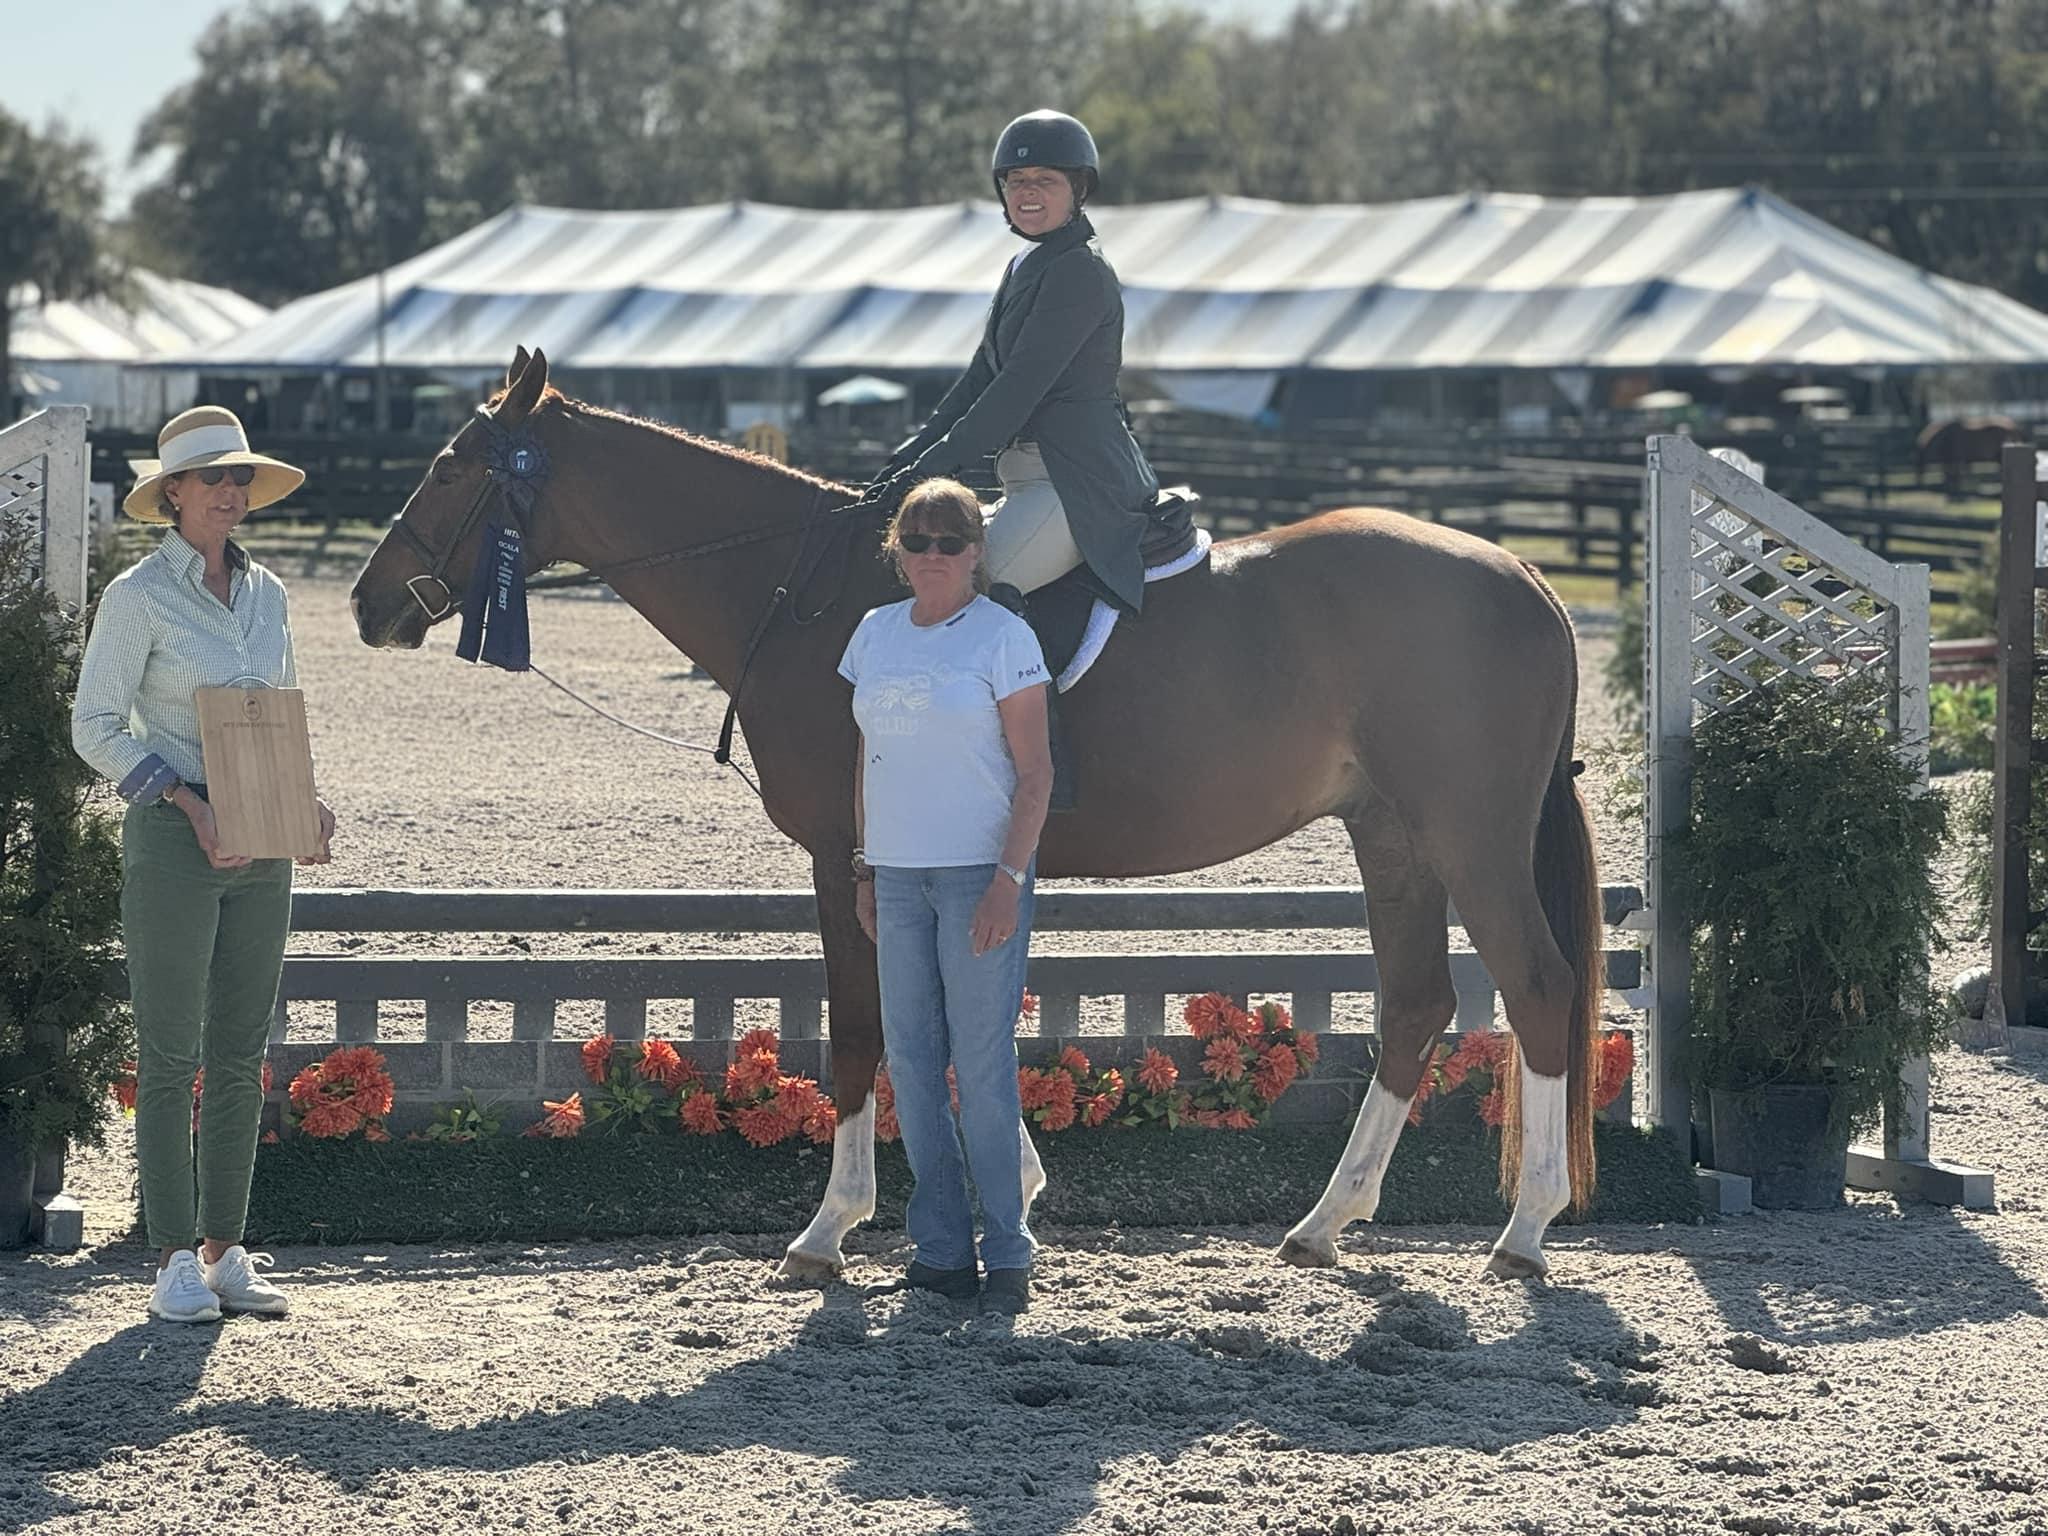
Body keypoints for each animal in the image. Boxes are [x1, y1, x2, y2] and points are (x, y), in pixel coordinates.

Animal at [348, 352, 1597, 1286]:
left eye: (452, 468)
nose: (367, 604)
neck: (800, 594)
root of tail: (1521, 574)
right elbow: (945, 1027)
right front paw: (1021, 1185)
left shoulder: (851, 857)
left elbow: (869, 1031)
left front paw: (829, 1228)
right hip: (1391, 835)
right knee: (1416, 1003)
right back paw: (1324, 1224)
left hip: (1468, 834)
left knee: (1535, 989)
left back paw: (1522, 1233)